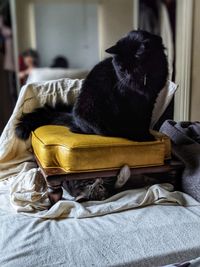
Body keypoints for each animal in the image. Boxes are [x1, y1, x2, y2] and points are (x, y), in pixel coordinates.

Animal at [16, 29, 169, 142]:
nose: (127, 77)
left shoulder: (150, 100)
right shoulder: (126, 101)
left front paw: (146, 136)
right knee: (83, 130)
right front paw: (139, 137)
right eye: (121, 69)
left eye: (134, 68)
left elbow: (145, 120)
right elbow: (134, 120)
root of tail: (73, 117)